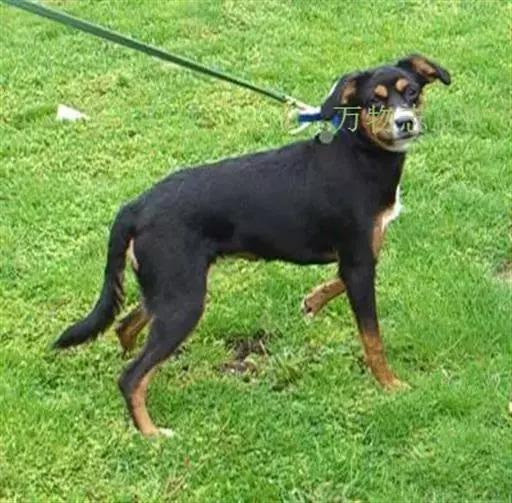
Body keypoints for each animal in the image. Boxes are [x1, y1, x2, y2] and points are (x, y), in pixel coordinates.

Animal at [54, 54, 451, 436]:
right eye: (375, 102)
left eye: (412, 92)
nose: (405, 123)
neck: (359, 155)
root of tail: (136, 206)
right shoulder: (357, 261)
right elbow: (373, 338)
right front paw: (390, 385)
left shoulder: (360, 257)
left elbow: (336, 284)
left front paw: (312, 301)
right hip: (184, 300)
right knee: (131, 377)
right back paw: (151, 433)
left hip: (167, 290)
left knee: (125, 328)